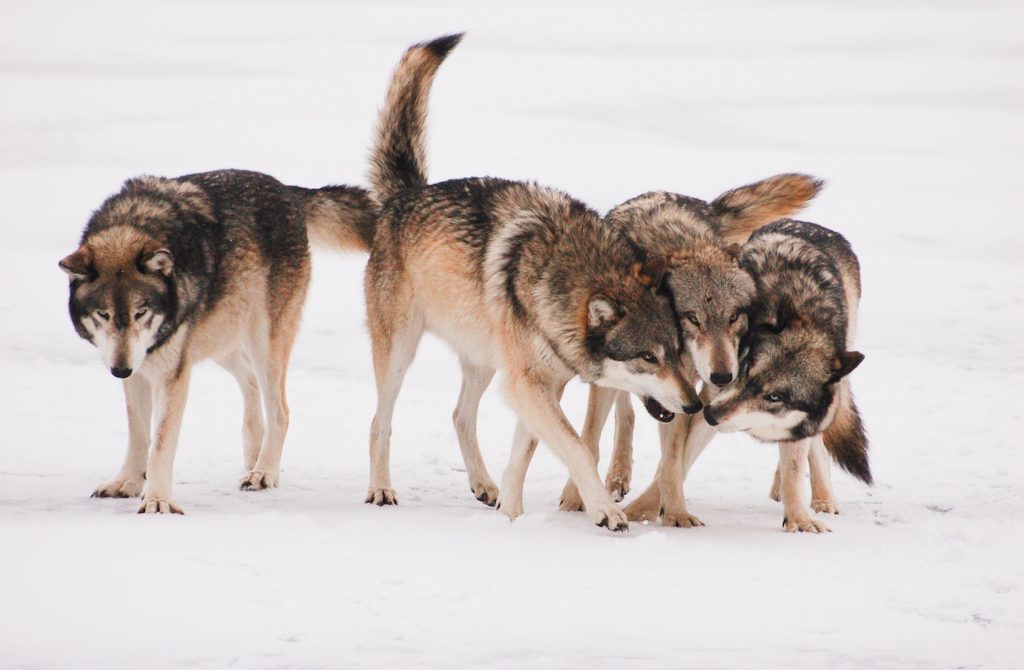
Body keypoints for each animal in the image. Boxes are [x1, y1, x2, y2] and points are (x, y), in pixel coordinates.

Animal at [60, 169, 375, 513]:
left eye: (140, 312)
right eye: (103, 314)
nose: (119, 371)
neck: (135, 223)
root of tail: (287, 189)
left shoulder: (171, 373)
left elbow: (160, 444)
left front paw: (158, 500)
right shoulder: (140, 368)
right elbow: (139, 434)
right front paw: (127, 482)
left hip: (262, 343)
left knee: (280, 411)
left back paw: (264, 472)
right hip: (218, 341)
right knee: (250, 386)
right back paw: (254, 459)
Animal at [363, 33, 701, 531]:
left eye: (677, 352)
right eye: (647, 357)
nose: (695, 405)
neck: (565, 275)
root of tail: (406, 194)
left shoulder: (541, 384)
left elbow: (524, 454)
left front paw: (512, 517)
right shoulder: (528, 384)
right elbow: (577, 446)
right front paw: (605, 510)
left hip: (483, 361)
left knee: (460, 414)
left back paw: (483, 485)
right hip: (400, 352)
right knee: (380, 421)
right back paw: (381, 489)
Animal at [556, 177, 824, 520]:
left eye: (734, 316)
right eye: (693, 318)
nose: (722, 377)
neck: (683, 244)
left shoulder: (686, 390)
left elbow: (672, 457)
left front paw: (675, 514)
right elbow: (589, 438)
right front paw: (574, 499)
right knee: (625, 413)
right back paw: (617, 477)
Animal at [624, 219, 870, 532]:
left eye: (774, 396)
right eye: (747, 370)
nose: (711, 414)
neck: (806, 311)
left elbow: (794, 469)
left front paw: (800, 520)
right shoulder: (712, 396)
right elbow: (679, 461)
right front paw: (642, 510)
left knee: (815, 443)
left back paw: (822, 499)